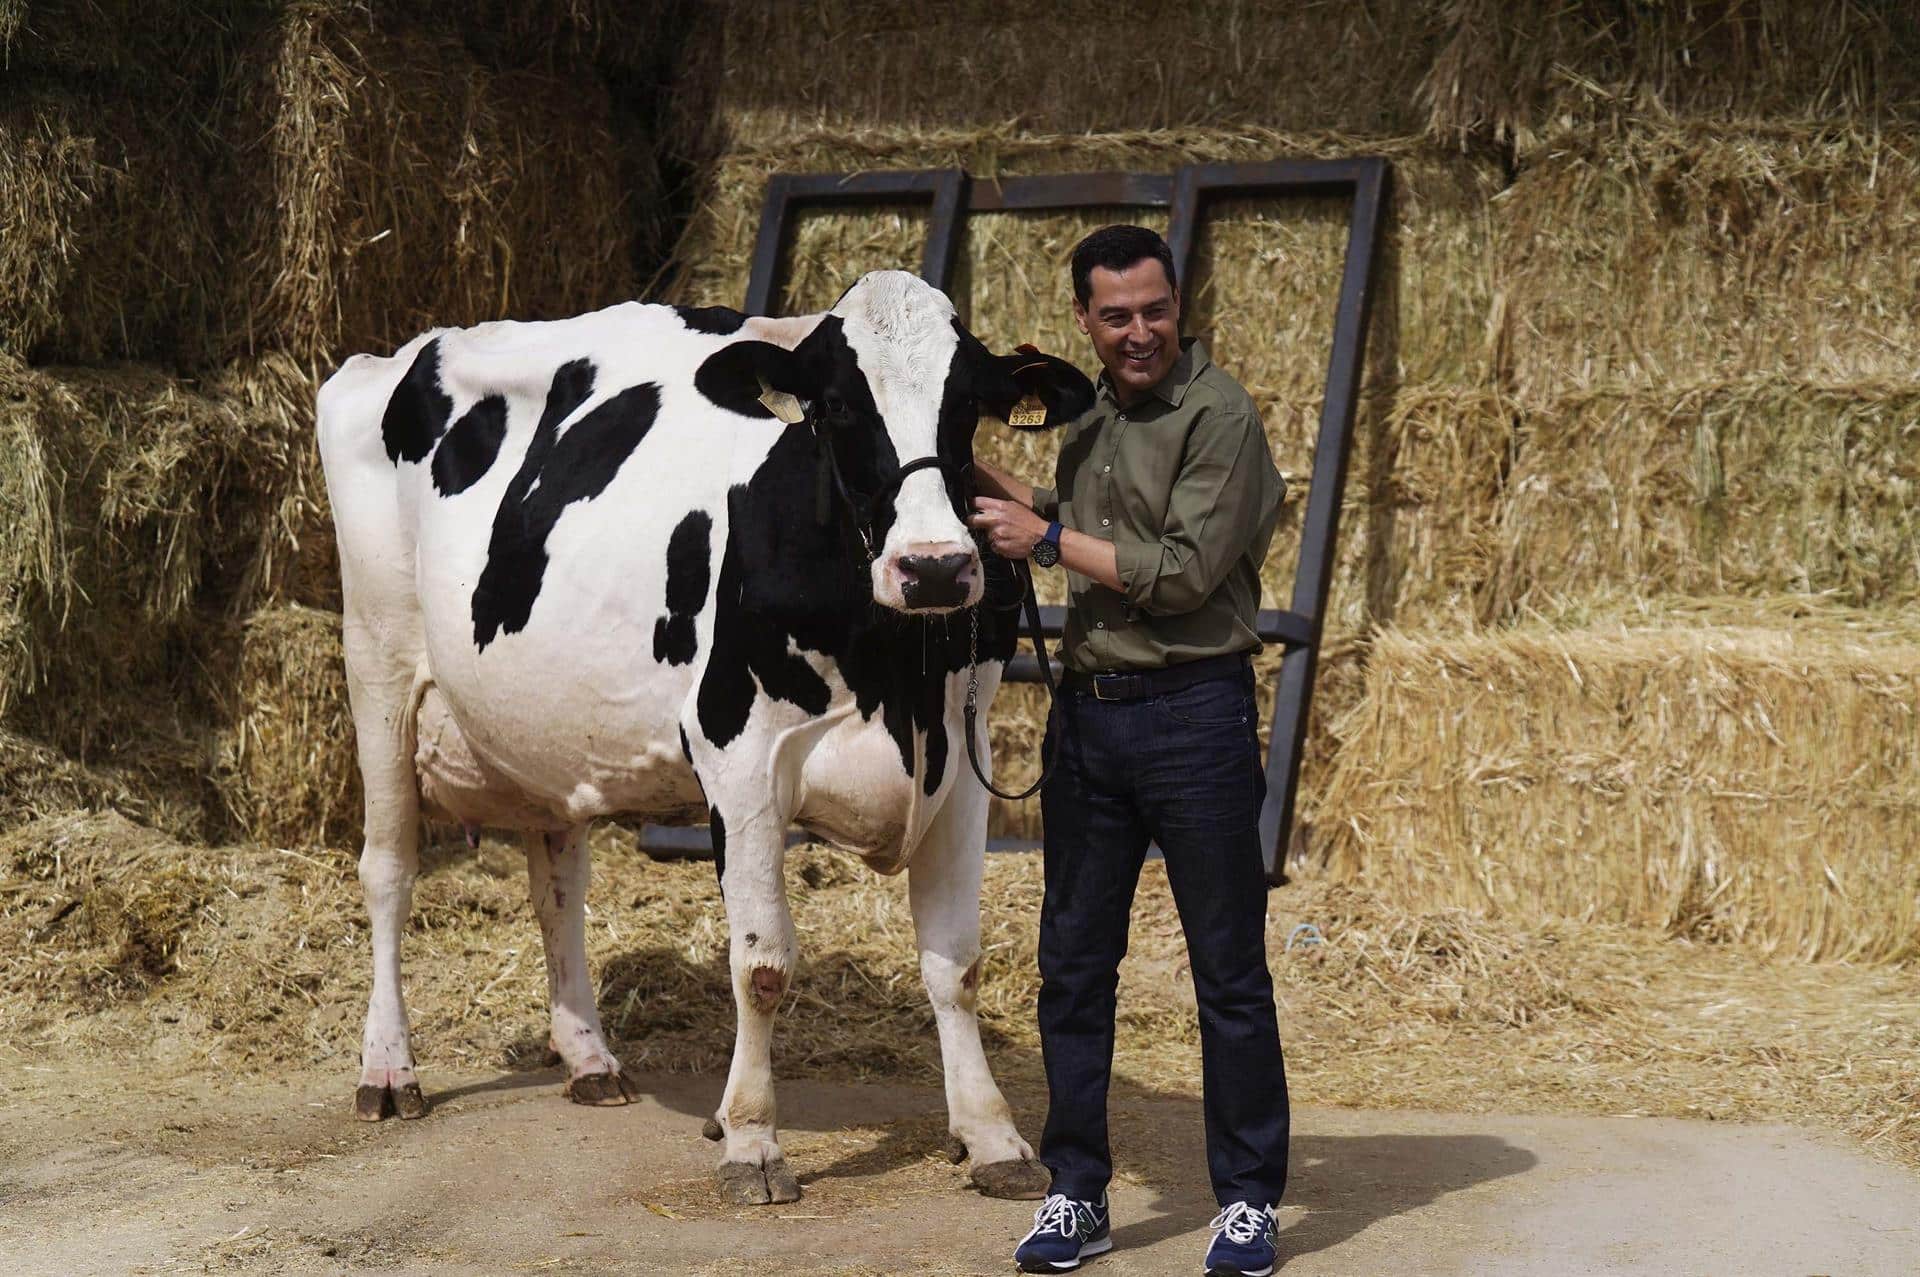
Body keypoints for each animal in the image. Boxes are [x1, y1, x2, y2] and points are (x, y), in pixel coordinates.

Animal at [316, 270, 1098, 1205]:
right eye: (837, 406)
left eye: (969, 405)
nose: (937, 566)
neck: (892, 672)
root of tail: (394, 354)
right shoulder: (741, 755)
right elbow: (762, 965)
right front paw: (752, 1140)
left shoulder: (962, 761)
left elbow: (958, 963)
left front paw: (992, 1136)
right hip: (379, 668)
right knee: (389, 872)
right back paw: (388, 1069)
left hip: (543, 727)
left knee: (557, 888)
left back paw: (589, 1057)